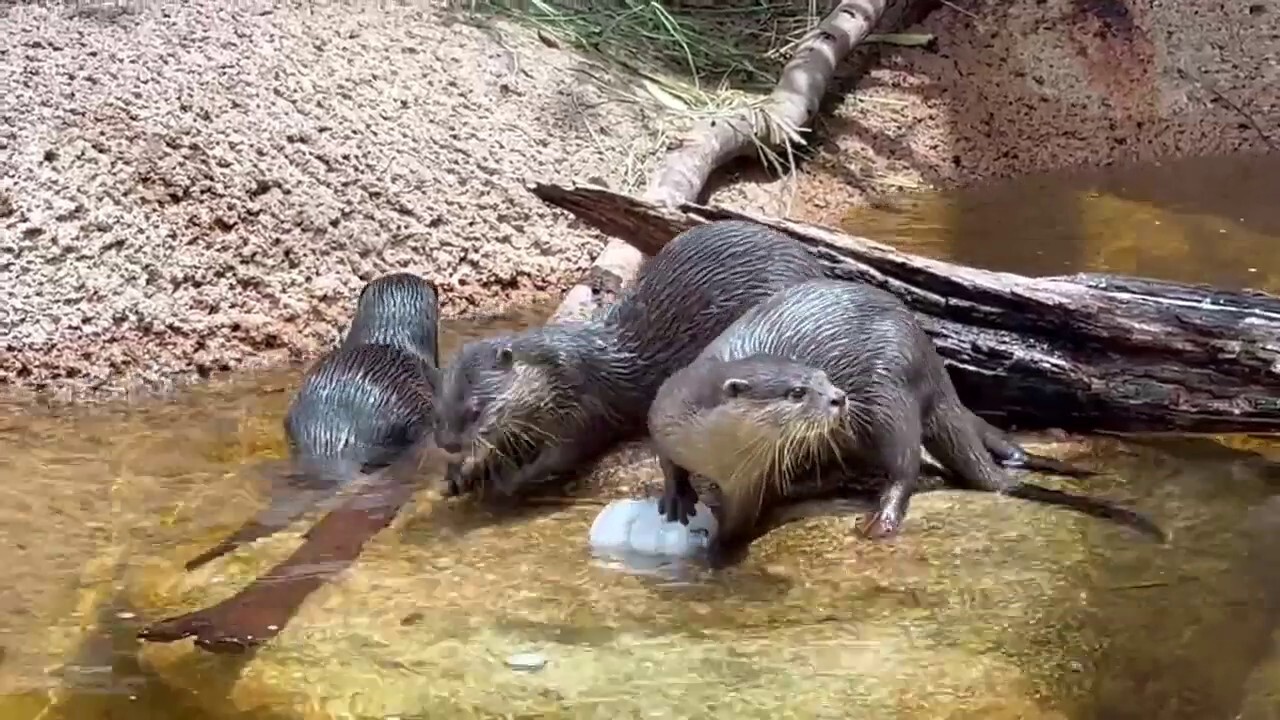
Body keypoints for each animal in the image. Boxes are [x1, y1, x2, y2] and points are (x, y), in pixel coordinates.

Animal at [655, 278, 1167, 550]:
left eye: (823, 377)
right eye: (798, 391)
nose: (839, 397)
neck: (713, 453)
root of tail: (931, 359)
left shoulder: (750, 478)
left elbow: (739, 523)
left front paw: (715, 554)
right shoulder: (663, 414)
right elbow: (667, 461)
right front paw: (677, 497)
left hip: (889, 397)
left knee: (906, 464)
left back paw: (880, 520)